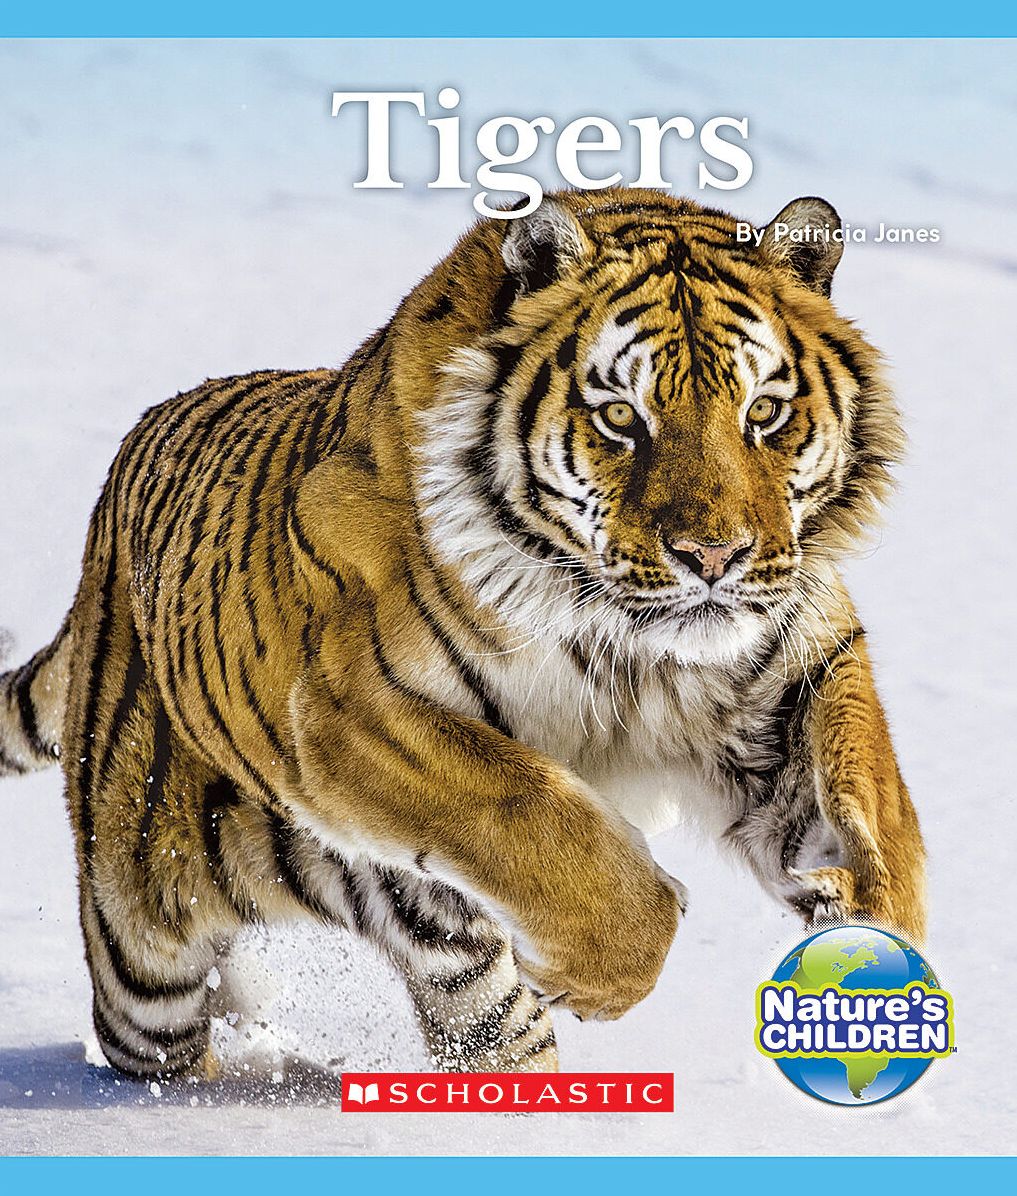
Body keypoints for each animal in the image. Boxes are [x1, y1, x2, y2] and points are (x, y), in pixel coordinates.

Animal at [0, 188, 926, 1083]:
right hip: (141, 946)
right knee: (156, 1030)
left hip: (438, 955)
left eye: (763, 412)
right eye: (621, 418)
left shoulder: (800, 654)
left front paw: (872, 929)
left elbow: (872, 793)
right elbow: (531, 809)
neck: (636, 646)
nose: (713, 555)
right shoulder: (349, 706)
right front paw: (603, 973)